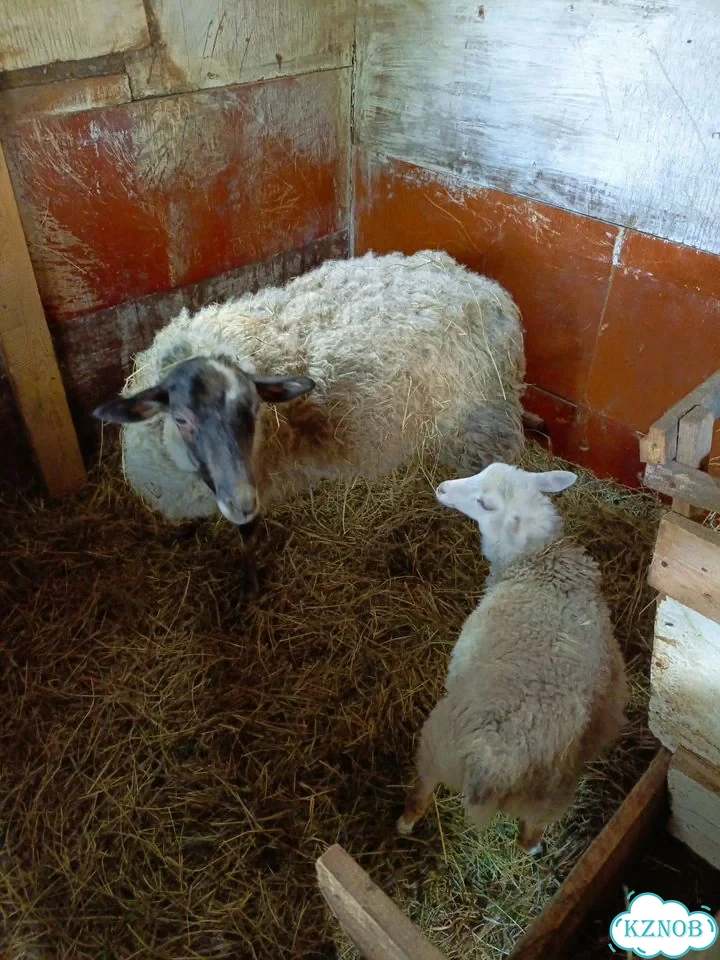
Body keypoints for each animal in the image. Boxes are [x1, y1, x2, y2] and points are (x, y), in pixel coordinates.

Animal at [397, 463, 628, 855]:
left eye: (486, 504)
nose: (442, 488)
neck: (537, 559)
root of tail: (495, 764)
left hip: (436, 744)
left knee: (422, 789)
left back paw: (404, 822)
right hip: (550, 797)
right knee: (530, 833)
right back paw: (533, 848)